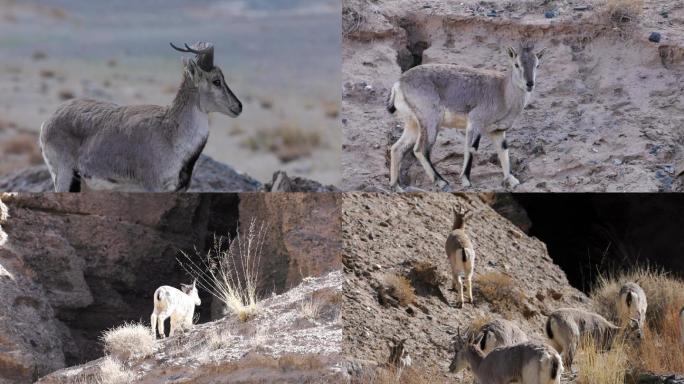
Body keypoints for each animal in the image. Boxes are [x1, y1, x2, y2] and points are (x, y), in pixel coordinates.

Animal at [390, 41, 544, 190]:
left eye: (537, 65)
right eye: (517, 64)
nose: (530, 84)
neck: (503, 93)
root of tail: (398, 84)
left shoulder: (497, 131)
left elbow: (503, 150)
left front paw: (511, 180)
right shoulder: (475, 122)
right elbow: (471, 148)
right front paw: (466, 180)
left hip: (413, 123)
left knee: (397, 148)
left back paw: (396, 185)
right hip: (431, 120)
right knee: (420, 149)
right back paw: (441, 182)